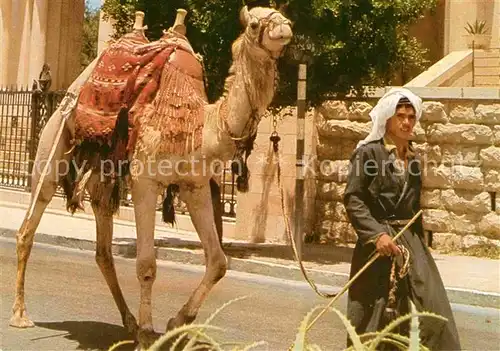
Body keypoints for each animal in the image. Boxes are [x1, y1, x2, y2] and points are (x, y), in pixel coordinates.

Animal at [9, 4, 292, 350]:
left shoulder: (195, 186)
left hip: (103, 176)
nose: (285, 27)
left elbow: (218, 262)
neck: (203, 128)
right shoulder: (146, 183)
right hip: (54, 143)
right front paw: (148, 333)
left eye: (279, 13)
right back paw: (21, 314)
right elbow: (146, 265)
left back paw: (128, 322)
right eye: (254, 23)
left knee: (103, 246)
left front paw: (175, 323)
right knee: (29, 224)